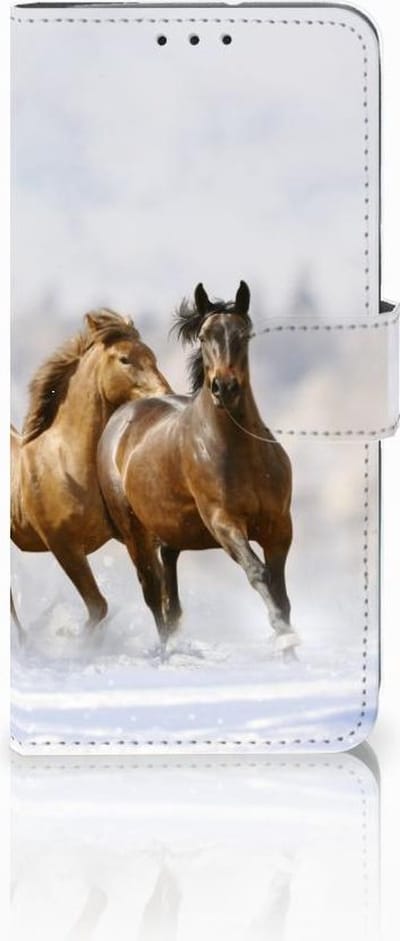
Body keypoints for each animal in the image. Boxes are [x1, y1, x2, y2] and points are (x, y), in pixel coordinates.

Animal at [11, 309, 171, 632]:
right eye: (125, 359)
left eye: (152, 356)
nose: (165, 394)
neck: (66, 464)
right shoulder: (64, 546)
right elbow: (98, 606)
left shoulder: (134, 536)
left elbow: (156, 593)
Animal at [97, 282, 299, 656]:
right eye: (204, 336)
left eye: (243, 334)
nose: (225, 387)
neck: (240, 452)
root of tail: (121, 418)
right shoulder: (224, 522)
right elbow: (258, 573)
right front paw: (283, 636)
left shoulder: (279, 527)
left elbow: (280, 590)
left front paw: (290, 649)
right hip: (135, 534)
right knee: (153, 594)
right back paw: (166, 653)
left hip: (170, 534)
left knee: (170, 597)